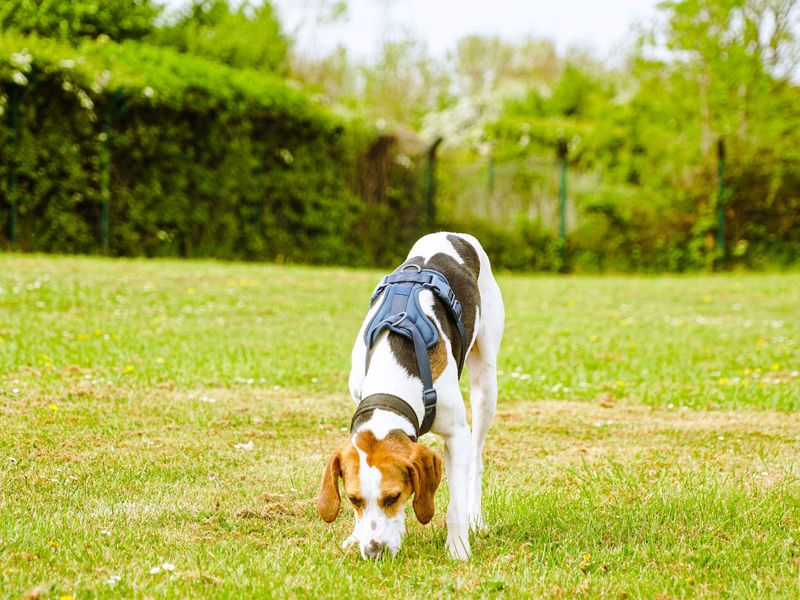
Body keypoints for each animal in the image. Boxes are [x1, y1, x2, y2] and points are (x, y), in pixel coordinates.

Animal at [316, 232, 504, 560]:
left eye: (393, 497)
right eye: (353, 499)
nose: (373, 552)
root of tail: (453, 234)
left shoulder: (457, 434)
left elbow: (454, 506)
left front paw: (458, 549)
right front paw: (355, 535)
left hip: (486, 384)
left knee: (476, 461)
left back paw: (475, 519)